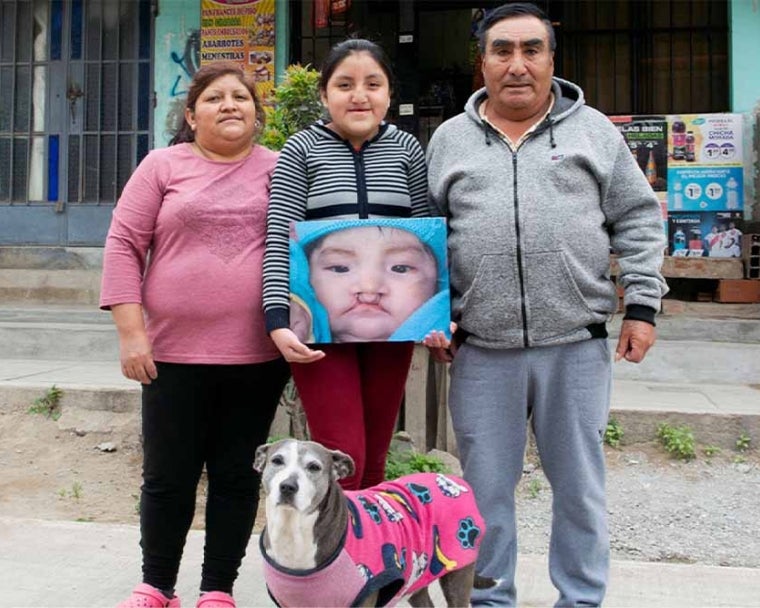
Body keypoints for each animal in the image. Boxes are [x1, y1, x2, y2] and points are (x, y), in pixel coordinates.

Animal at [255, 436, 490, 608]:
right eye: (277, 461)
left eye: (314, 467)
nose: (288, 486)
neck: (292, 530)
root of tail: (454, 480)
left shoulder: (365, 597)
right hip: (417, 578)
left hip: (459, 574)